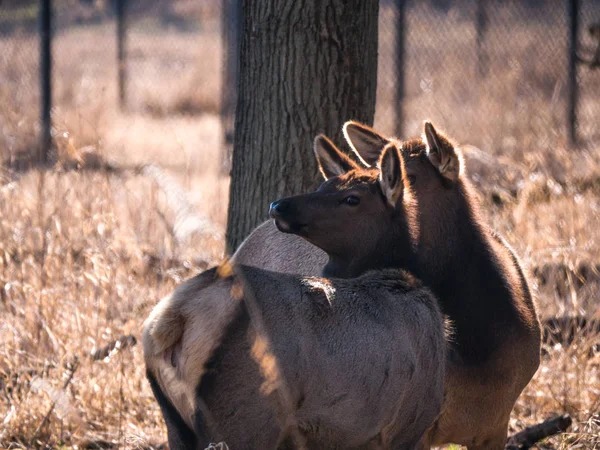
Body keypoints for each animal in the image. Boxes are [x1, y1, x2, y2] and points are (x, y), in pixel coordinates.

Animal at [144, 139, 446, 448]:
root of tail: (172, 320)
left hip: (175, 419)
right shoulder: (407, 426)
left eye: (352, 198)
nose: (279, 205)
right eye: (324, 186)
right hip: (244, 414)